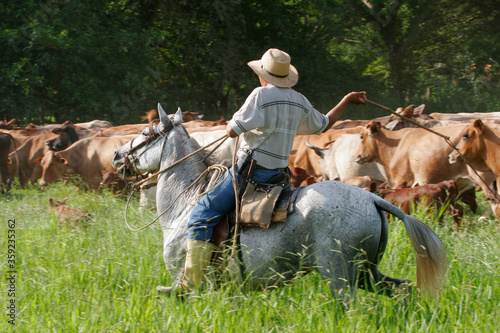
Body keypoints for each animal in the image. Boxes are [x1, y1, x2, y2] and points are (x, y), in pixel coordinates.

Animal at [114, 105, 450, 302]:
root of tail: (373, 198)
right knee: (403, 289)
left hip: (339, 274)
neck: (186, 200)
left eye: (145, 132)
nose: (117, 155)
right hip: (367, 271)